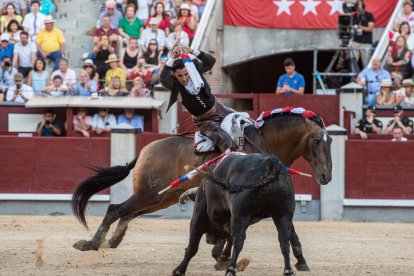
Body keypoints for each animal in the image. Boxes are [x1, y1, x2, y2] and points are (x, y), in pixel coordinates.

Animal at [173, 154, 302, 274]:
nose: (210, 240)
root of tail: (272, 162)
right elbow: (229, 238)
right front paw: (223, 259)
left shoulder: (199, 214)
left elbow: (193, 245)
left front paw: (179, 270)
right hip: (283, 215)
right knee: (284, 241)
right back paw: (288, 271)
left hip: (241, 215)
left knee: (238, 241)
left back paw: (230, 269)